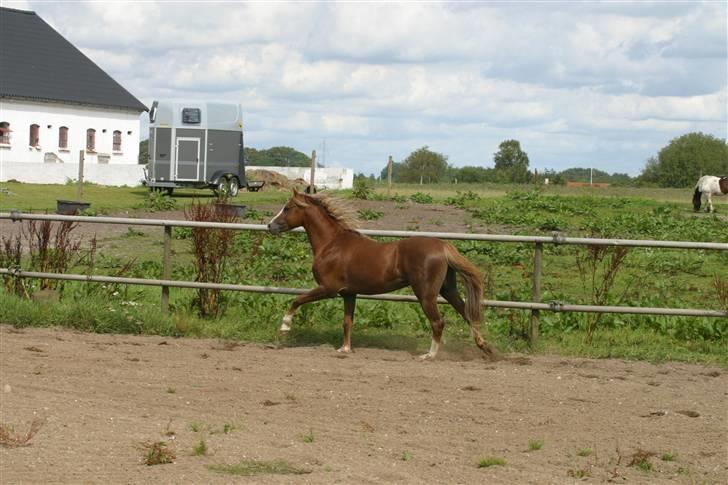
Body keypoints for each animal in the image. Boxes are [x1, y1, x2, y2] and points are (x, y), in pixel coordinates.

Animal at [268, 189, 494, 360]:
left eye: (287, 208)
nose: (270, 226)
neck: (332, 244)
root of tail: (443, 246)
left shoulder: (328, 289)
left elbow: (297, 299)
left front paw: (284, 327)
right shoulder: (348, 293)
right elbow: (347, 322)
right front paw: (345, 349)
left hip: (426, 294)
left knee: (438, 322)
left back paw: (429, 355)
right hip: (447, 289)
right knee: (467, 313)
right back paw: (486, 348)